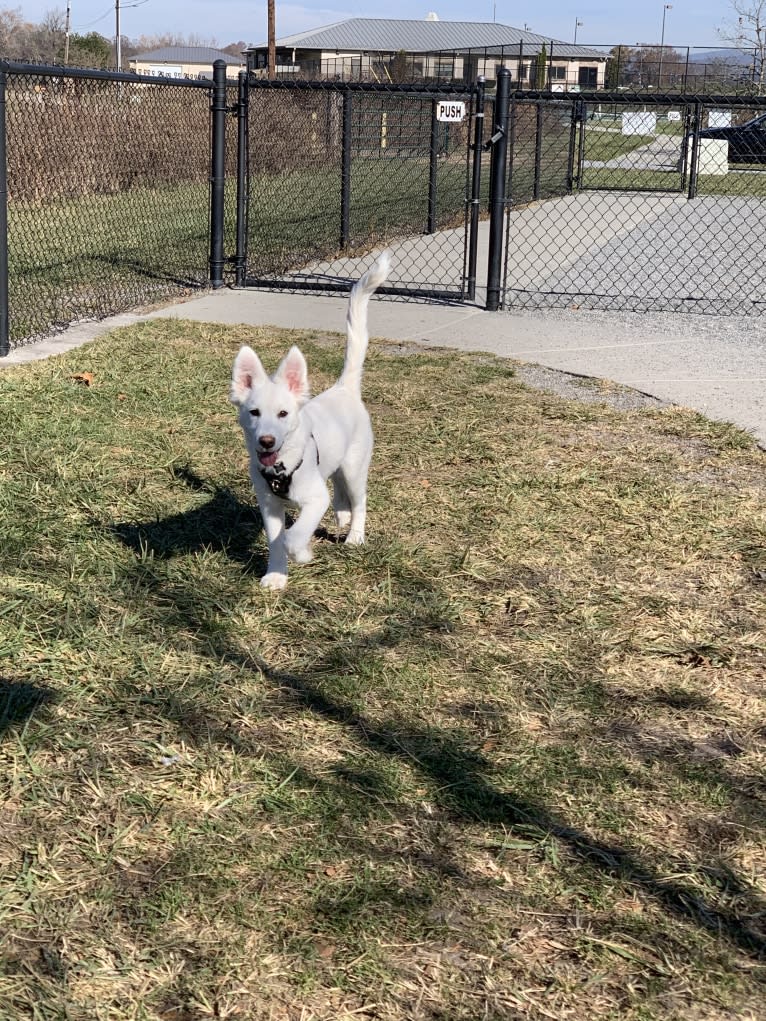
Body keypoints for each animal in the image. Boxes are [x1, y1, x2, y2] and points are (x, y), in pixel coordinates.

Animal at [229, 251, 390, 592]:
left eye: (283, 414)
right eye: (254, 413)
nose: (266, 441)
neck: (281, 470)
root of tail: (344, 388)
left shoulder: (316, 499)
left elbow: (293, 536)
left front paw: (302, 553)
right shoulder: (269, 505)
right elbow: (277, 540)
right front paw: (277, 574)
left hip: (356, 466)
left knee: (359, 499)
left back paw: (355, 534)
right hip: (338, 463)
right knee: (340, 489)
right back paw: (342, 516)